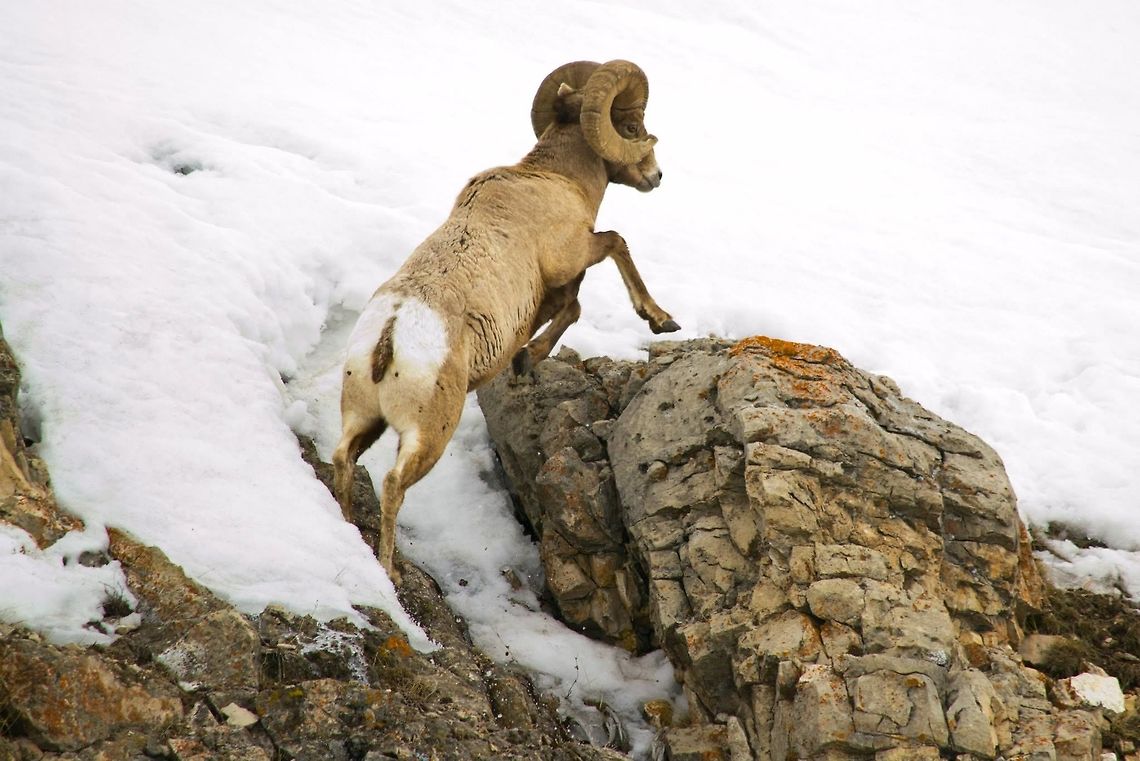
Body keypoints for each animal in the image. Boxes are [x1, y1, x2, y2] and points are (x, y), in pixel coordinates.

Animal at [333, 60, 678, 582]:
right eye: (634, 126)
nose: (657, 175)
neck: (555, 179)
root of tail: (390, 337)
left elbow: (567, 308)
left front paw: (525, 359)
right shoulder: (571, 256)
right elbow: (613, 248)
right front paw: (659, 320)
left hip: (362, 417)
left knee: (343, 460)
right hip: (428, 434)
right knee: (393, 484)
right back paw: (389, 573)